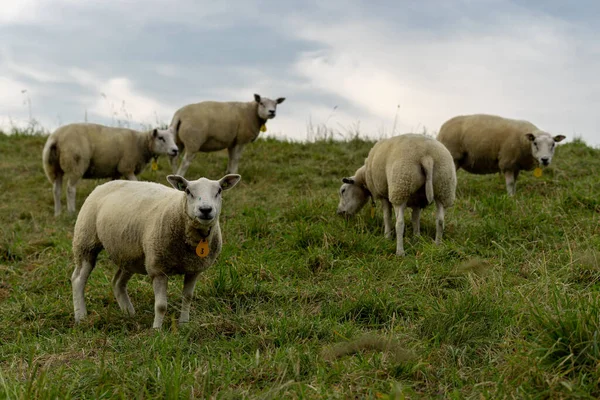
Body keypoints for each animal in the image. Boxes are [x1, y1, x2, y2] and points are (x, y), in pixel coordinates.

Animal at [41, 122, 178, 217]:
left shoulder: (116, 172)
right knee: (70, 189)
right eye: (161, 138)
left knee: (56, 190)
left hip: (54, 168)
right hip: (75, 163)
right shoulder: (126, 167)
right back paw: (71, 212)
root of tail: (56, 137)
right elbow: (136, 182)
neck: (141, 143)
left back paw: (58, 213)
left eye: (173, 138)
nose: (175, 150)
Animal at [70, 173, 239, 330]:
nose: (205, 209)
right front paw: (157, 330)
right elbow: (161, 305)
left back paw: (129, 313)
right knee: (78, 279)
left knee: (117, 282)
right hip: (86, 241)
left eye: (219, 191)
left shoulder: (194, 269)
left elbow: (187, 298)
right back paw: (81, 316)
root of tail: (104, 184)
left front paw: (184, 324)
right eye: (188, 191)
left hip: (130, 254)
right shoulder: (158, 269)